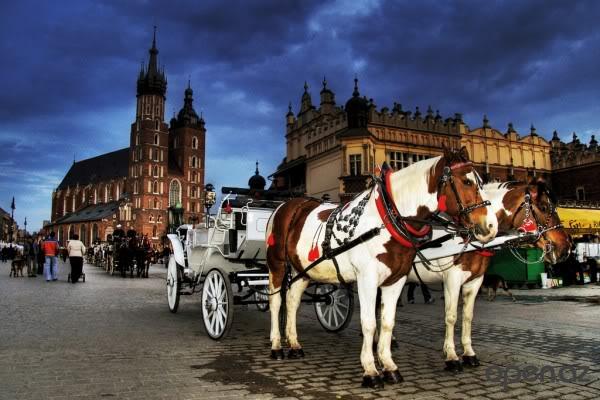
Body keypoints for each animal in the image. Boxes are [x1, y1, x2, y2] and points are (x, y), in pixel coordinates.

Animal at [266, 147, 496, 388]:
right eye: (466, 181)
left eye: (481, 182)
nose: (490, 227)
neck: (388, 218)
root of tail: (286, 205)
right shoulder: (367, 278)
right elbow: (369, 324)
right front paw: (370, 370)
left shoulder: (396, 279)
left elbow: (387, 322)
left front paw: (389, 366)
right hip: (277, 264)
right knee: (276, 301)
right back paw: (276, 346)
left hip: (302, 270)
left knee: (292, 302)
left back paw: (294, 344)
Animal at [408, 179, 572, 372]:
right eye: (544, 207)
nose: (566, 247)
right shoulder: (451, 280)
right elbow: (451, 317)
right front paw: (451, 356)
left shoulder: (475, 281)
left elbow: (468, 317)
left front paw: (469, 354)